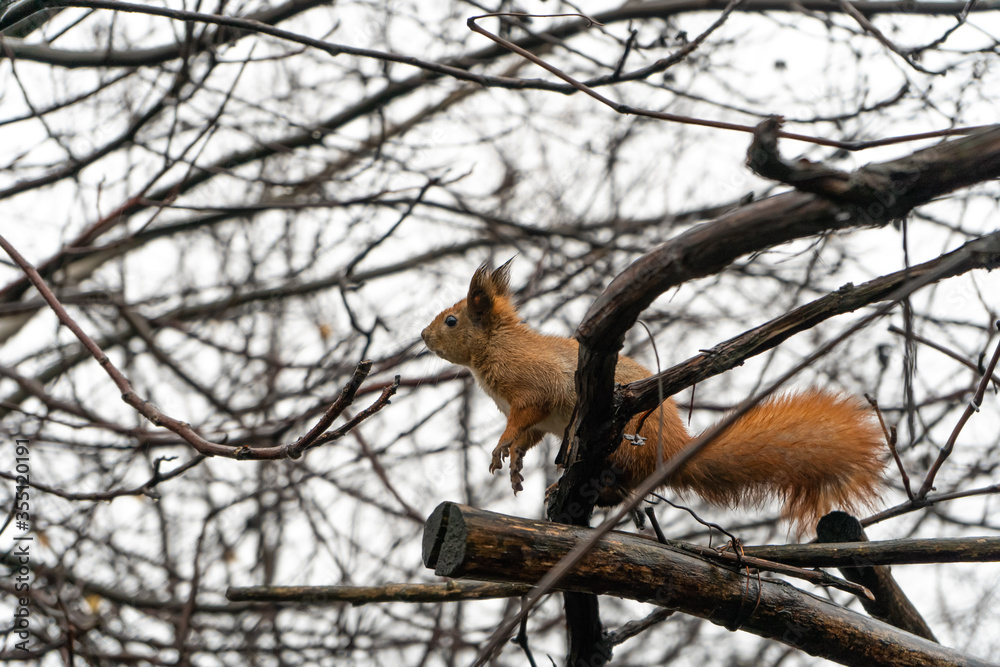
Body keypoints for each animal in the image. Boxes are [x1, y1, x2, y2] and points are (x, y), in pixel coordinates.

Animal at [421, 260, 886, 529]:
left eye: (451, 320)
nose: (423, 336)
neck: (495, 347)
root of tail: (675, 450)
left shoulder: (532, 390)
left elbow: (521, 419)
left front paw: (501, 448)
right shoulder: (532, 416)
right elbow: (528, 436)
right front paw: (516, 462)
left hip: (626, 446)